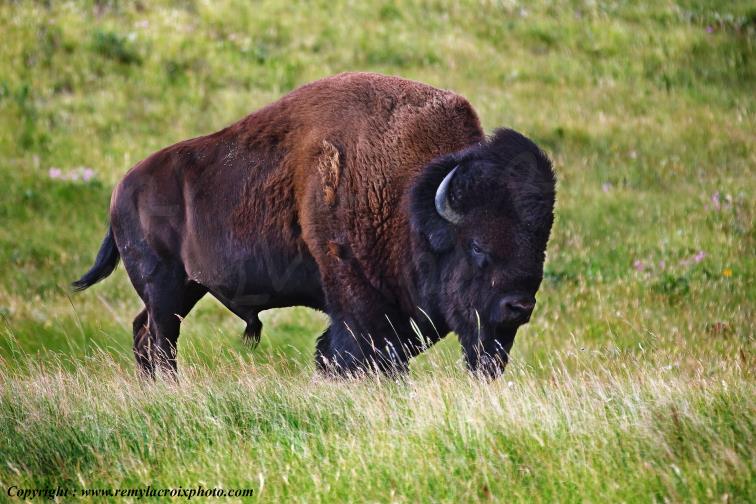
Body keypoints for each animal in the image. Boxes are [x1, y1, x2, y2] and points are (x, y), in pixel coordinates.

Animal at [73, 72, 555, 379]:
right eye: (477, 246)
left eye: (539, 244)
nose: (520, 306)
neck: (412, 198)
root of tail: (122, 187)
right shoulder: (360, 296)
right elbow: (360, 353)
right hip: (164, 285)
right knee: (160, 340)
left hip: (186, 288)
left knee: (144, 333)